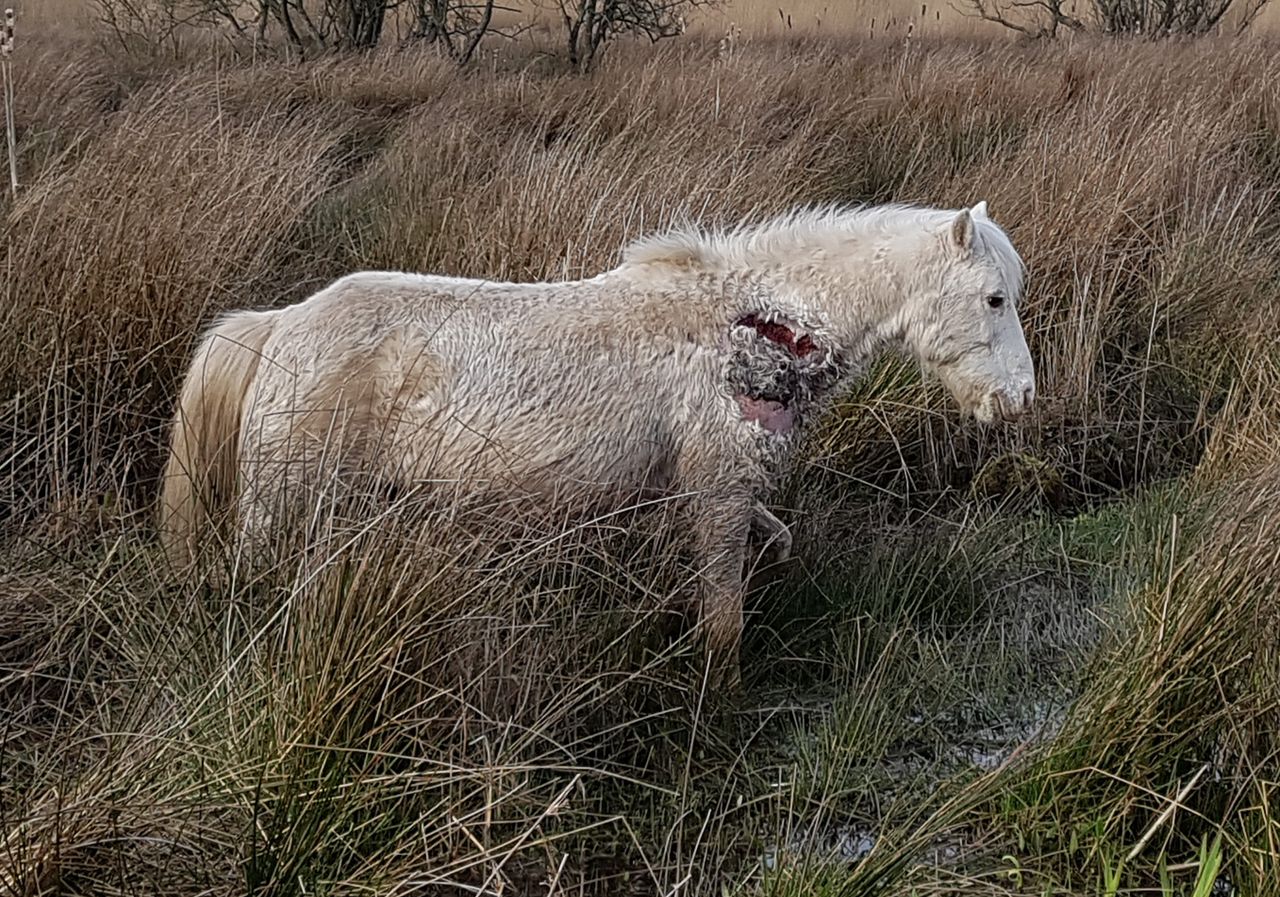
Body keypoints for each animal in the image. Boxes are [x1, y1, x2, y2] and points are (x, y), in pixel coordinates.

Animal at [158, 201, 1035, 687]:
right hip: (280, 505)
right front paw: (718, 699)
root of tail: (278, 326)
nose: (1020, 399)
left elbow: (774, 547)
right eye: (994, 298)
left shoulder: (722, 495)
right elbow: (724, 620)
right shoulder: (718, 492)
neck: (753, 325)